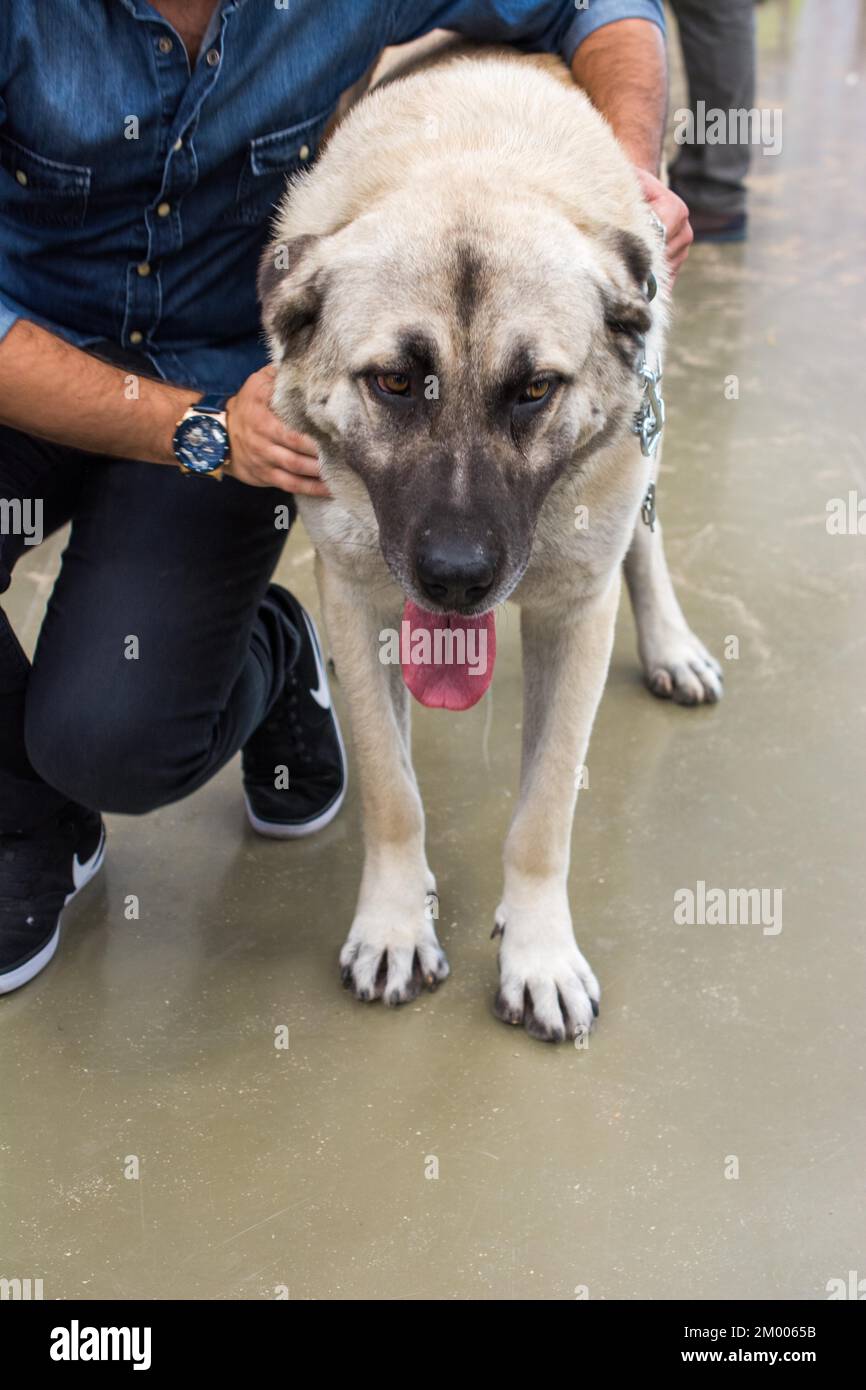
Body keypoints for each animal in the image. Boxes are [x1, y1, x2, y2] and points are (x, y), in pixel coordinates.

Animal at [258, 46, 722, 1045]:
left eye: (535, 388)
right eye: (395, 381)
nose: (458, 579)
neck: (471, 156)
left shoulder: (573, 613)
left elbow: (542, 816)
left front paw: (538, 954)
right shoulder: (355, 592)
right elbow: (392, 791)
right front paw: (396, 923)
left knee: (645, 538)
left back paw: (671, 643)